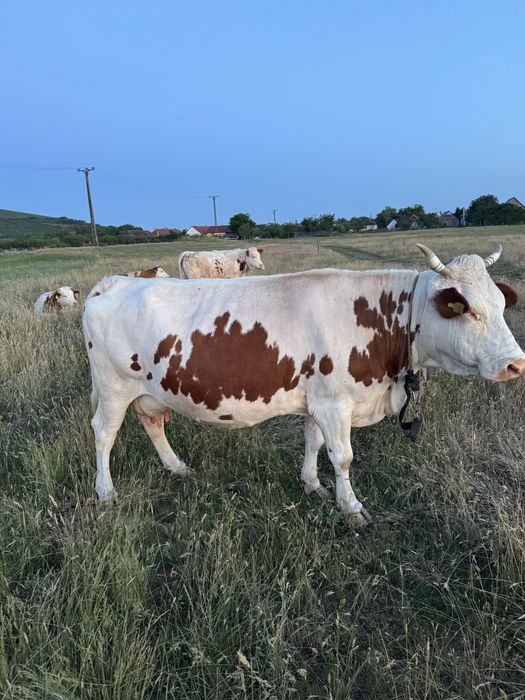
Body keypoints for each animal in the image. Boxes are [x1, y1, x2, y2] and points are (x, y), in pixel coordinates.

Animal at [83, 244, 524, 526]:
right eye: (466, 309)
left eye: (502, 305)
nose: (516, 364)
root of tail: (111, 282)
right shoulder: (335, 403)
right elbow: (342, 457)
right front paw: (352, 508)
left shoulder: (318, 398)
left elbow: (314, 443)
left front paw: (312, 485)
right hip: (113, 386)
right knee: (104, 434)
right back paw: (105, 492)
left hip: (147, 389)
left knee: (153, 422)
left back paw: (176, 466)